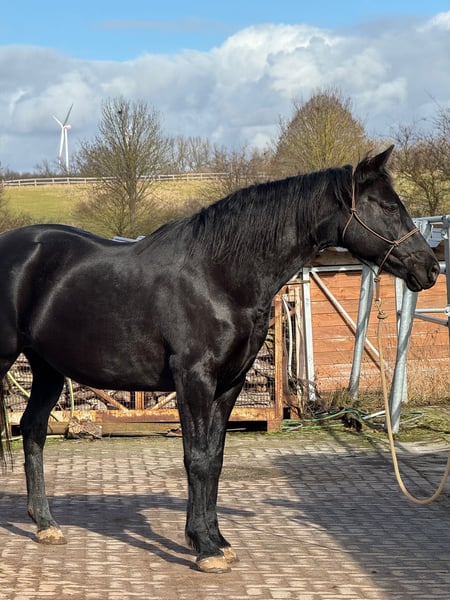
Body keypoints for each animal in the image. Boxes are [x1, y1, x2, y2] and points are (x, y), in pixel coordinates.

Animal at [0, 146, 439, 573]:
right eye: (388, 207)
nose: (430, 268)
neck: (219, 275)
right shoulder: (194, 379)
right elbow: (195, 458)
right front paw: (205, 548)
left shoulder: (230, 383)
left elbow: (214, 459)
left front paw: (214, 539)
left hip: (47, 369)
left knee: (33, 429)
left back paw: (46, 524)